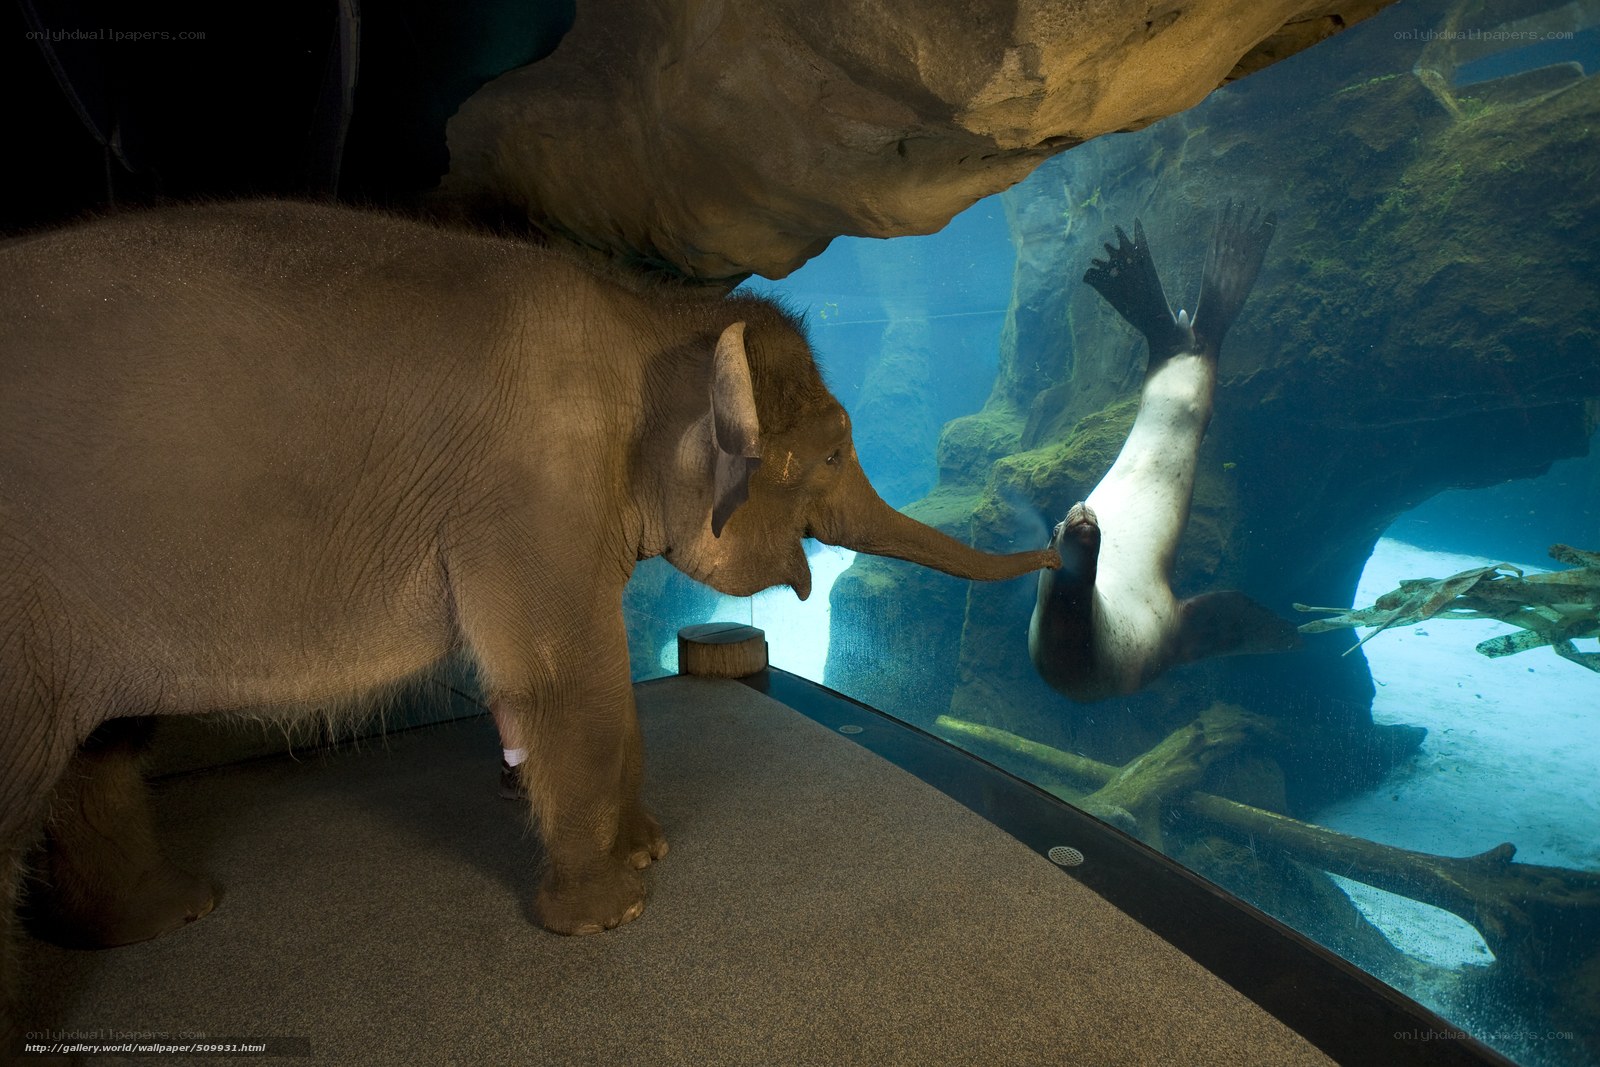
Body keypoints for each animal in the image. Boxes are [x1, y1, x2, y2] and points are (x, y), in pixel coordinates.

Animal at [0, 200, 1057, 1023]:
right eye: (835, 451)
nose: (1062, 540)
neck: (648, 316)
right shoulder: (528, 490)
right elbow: (567, 680)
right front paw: (611, 911)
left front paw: (648, 847)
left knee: (101, 748)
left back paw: (166, 915)